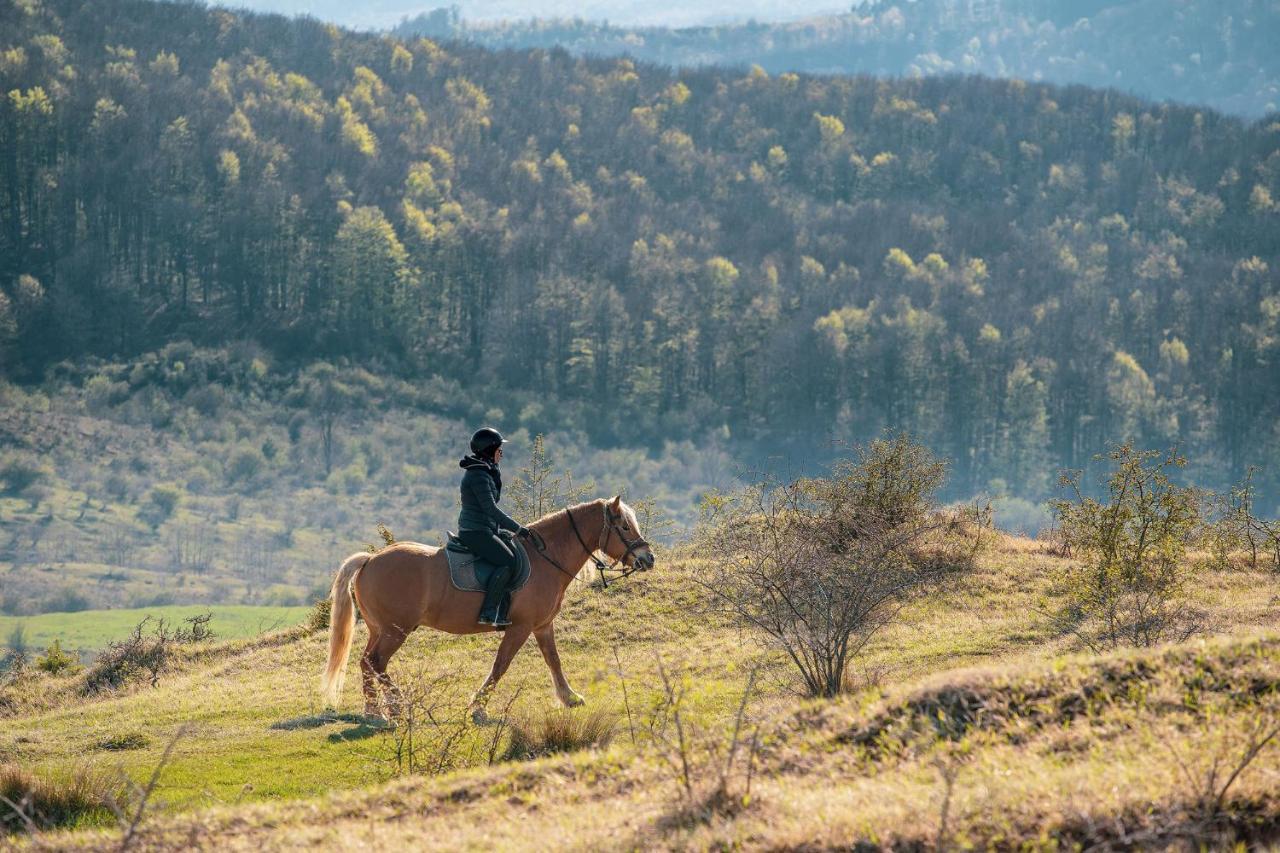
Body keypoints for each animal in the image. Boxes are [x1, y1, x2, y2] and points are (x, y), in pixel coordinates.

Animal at [320, 494, 660, 722]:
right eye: (624, 527)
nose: (648, 559)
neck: (544, 559)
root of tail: (370, 560)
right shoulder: (520, 628)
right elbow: (501, 665)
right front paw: (479, 708)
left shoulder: (542, 626)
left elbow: (554, 661)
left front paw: (570, 698)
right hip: (395, 631)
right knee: (376, 662)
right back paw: (396, 707)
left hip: (380, 629)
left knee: (366, 662)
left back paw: (373, 711)